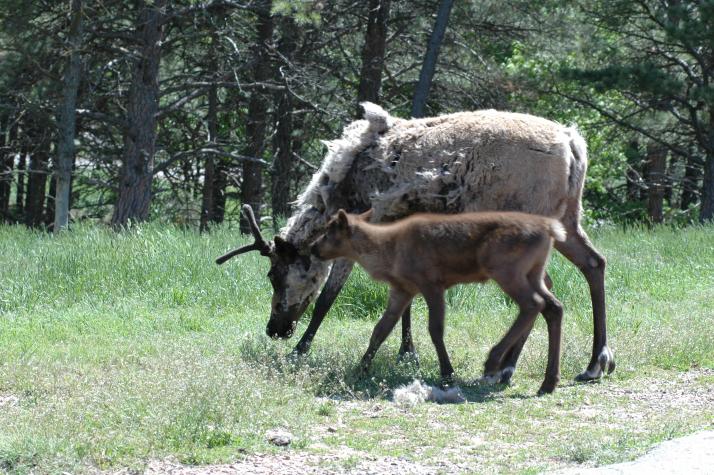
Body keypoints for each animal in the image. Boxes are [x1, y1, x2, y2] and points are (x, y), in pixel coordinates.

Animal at [308, 210, 564, 396]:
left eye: (330, 230)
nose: (313, 247)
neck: (387, 253)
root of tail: (551, 229)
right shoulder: (402, 290)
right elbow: (380, 330)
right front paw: (360, 369)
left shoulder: (432, 284)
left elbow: (435, 330)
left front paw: (447, 374)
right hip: (534, 272)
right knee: (554, 307)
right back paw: (548, 383)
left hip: (506, 269)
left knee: (533, 304)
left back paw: (493, 362)